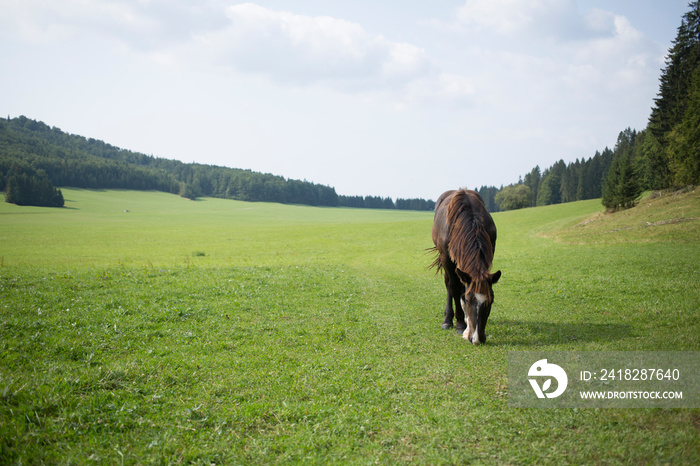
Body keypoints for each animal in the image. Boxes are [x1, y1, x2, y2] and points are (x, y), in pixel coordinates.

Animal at [430, 189, 500, 346]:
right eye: (469, 300)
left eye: (491, 300)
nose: (477, 339)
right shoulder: (447, 258)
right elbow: (455, 288)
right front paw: (461, 325)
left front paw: (467, 326)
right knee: (449, 284)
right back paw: (448, 319)